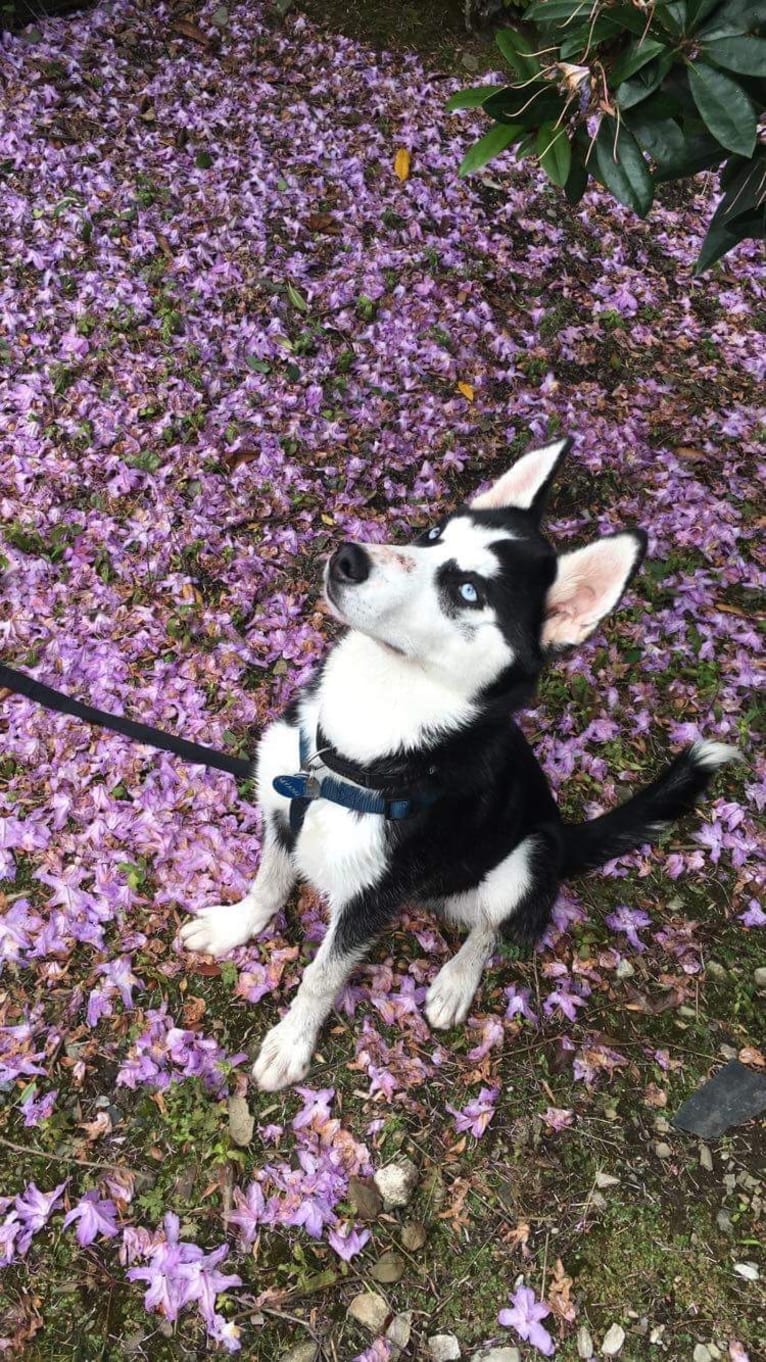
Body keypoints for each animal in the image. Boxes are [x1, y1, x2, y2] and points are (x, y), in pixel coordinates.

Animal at [178, 441, 736, 1089]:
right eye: (432, 535)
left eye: (469, 592)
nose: (347, 557)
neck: (361, 744)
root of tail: (566, 835)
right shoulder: (280, 807)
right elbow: (268, 887)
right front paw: (233, 926)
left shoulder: (374, 896)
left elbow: (322, 973)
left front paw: (293, 1040)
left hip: (528, 856)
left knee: (494, 925)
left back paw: (455, 981)